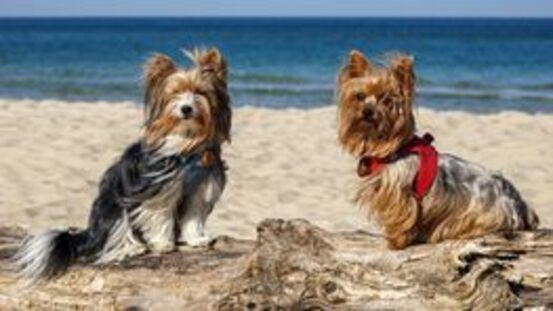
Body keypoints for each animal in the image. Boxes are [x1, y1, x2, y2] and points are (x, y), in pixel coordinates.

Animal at [14, 47, 231, 282]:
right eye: (174, 93)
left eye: (200, 92)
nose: (186, 108)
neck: (187, 144)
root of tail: (91, 234)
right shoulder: (158, 188)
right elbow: (160, 216)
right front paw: (163, 244)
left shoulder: (200, 187)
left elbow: (193, 215)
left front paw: (196, 240)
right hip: (115, 207)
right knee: (116, 236)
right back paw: (133, 248)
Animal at [334, 51, 536, 251]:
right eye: (360, 96)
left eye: (386, 99)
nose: (367, 111)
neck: (390, 149)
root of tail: (518, 201)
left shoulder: (400, 193)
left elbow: (402, 217)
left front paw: (395, 242)